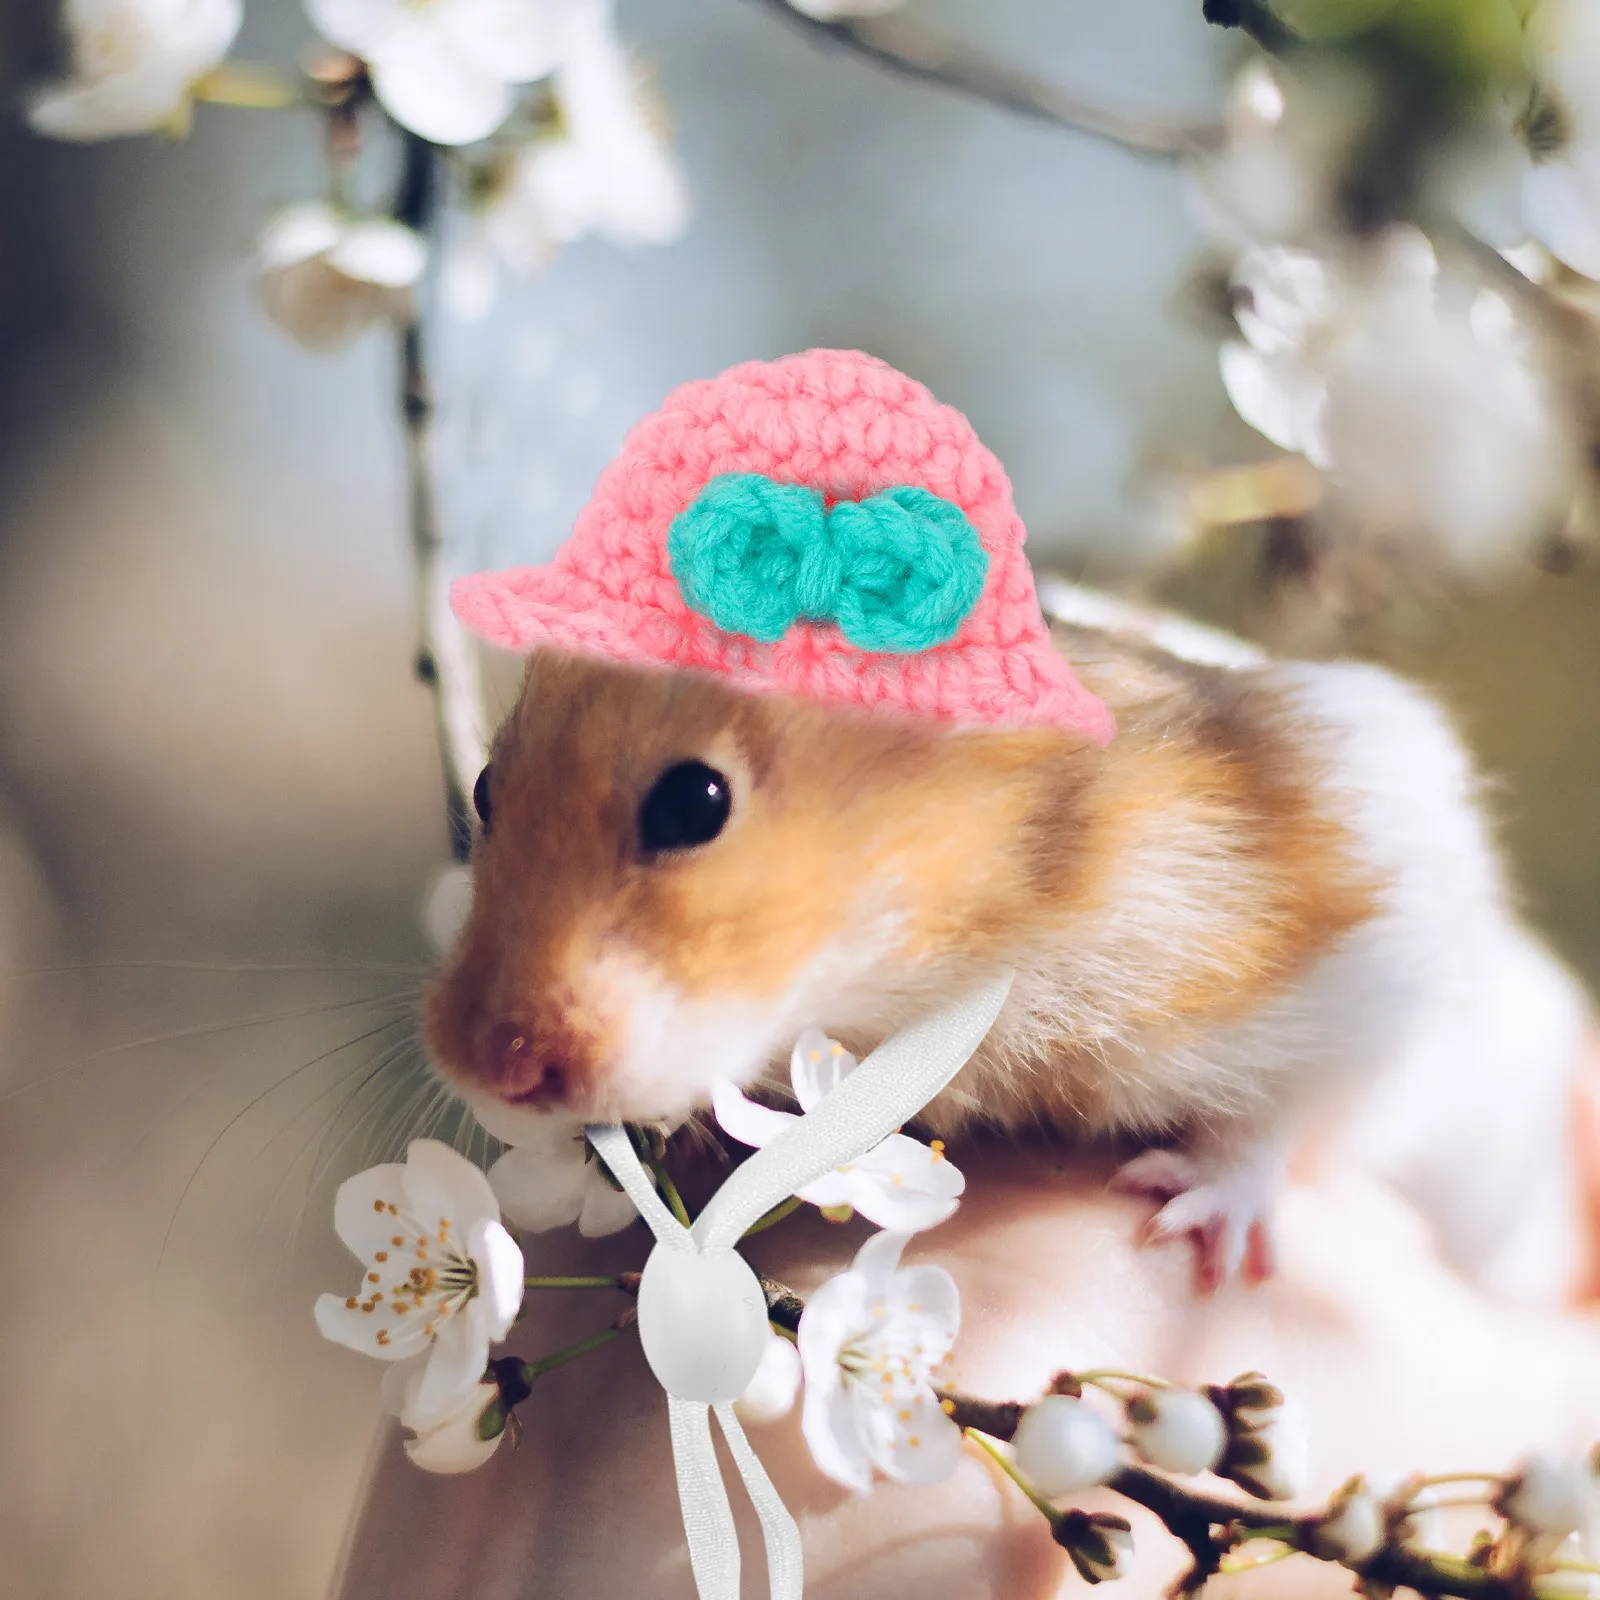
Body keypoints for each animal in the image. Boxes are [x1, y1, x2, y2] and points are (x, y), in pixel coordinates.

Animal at [425, 583, 1591, 1297]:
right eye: (483, 788)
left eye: (692, 802)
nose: (489, 1067)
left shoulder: (1376, 949)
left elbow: (1281, 1118)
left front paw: (1189, 1227)